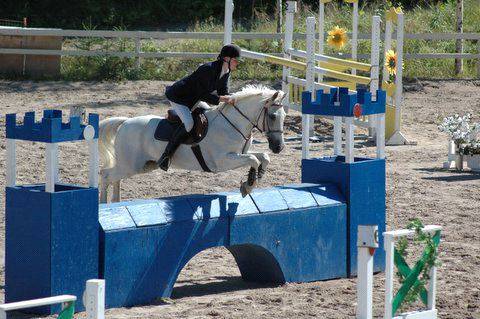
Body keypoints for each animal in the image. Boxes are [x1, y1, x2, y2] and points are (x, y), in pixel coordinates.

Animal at [97, 85, 284, 204]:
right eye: (273, 116)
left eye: (284, 116)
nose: (278, 147)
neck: (233, 123)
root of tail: (125, 122)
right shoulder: (223, 161)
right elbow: (253, 159)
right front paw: (249, 185)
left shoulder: (240, 153)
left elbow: (262, 157)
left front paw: (254, 180)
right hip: (131, 166)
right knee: (105, 175)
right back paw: (104, 205)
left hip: (143, 165)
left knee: (115, 177)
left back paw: (116, 203)